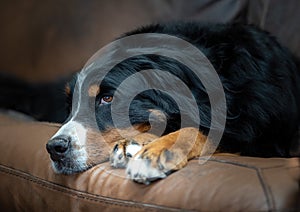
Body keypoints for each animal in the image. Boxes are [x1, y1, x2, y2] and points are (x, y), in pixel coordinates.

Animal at [2, 22, 300, 184]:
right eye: (69, 106)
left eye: (107, 98)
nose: (55, 148)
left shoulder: (261, 136)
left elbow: (198, 129)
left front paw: (155, 153)